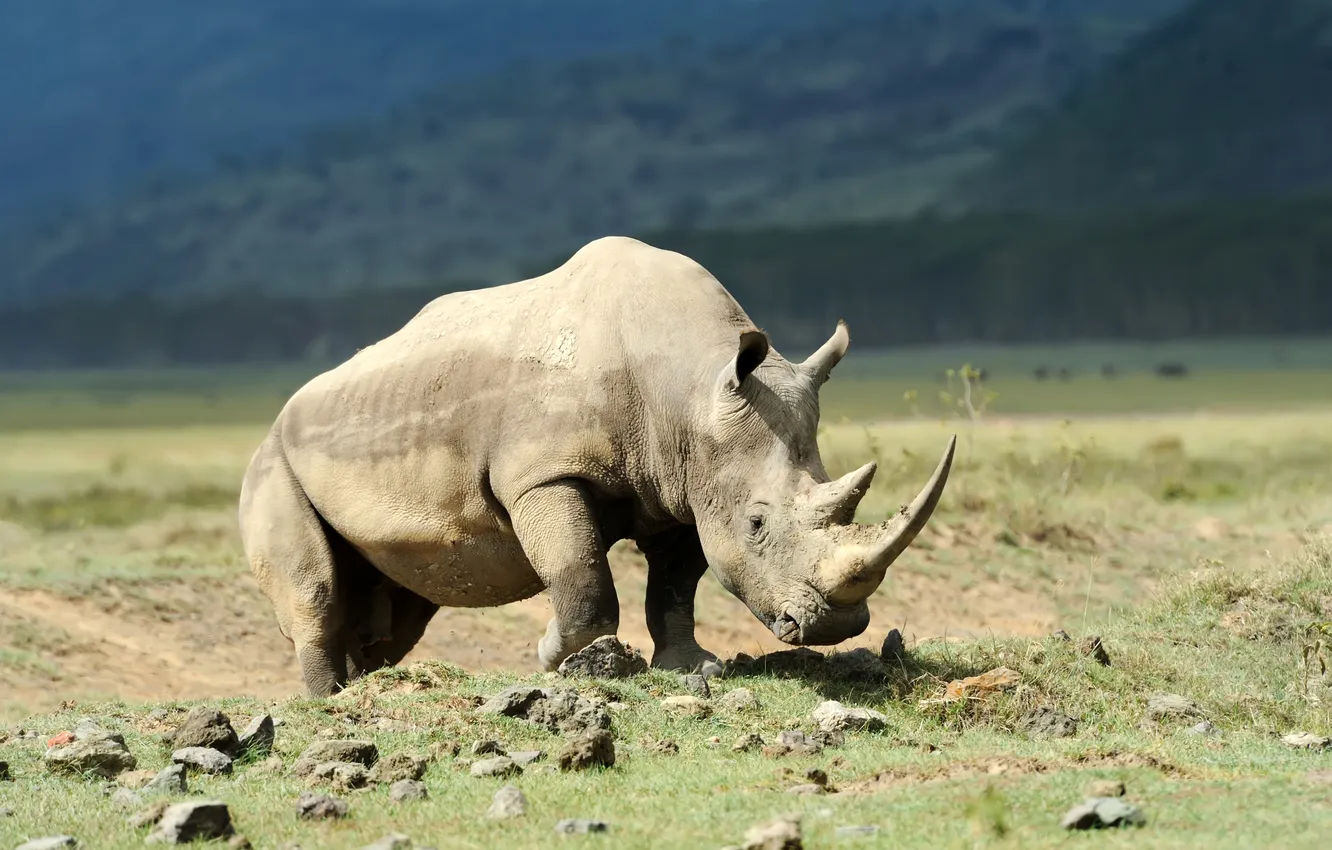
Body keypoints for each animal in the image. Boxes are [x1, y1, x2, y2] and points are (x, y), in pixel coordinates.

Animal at [238, 236, 955, 696]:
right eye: (756, 526)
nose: (836, 627)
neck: (691, 386)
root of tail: (282, 413)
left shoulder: (683, 485)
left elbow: (675, 585)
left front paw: (693, 669)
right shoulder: (544, 475)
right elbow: (580, 573)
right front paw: (562, 659)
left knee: (398, 606)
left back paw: (364, 684)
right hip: (272, 461)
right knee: (317, 587)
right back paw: (328, 703)